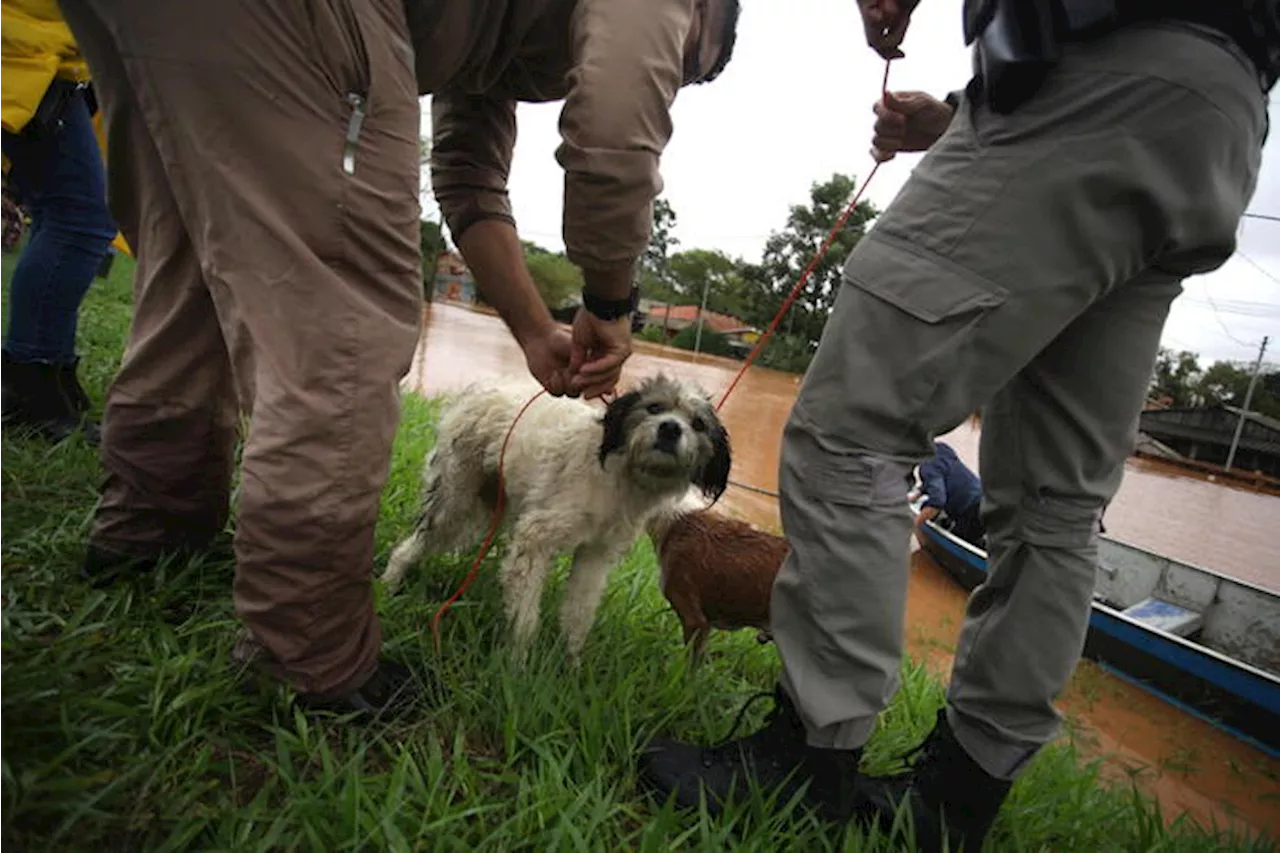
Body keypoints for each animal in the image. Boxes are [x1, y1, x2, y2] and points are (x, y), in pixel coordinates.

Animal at [376, 371, 732, 655]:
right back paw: (388, 585)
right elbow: (525, 615)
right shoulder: (536, 537)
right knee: (412, 544)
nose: (670, 429)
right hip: (455, 499)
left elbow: (579, 612)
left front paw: (570, 664)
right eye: (654, 407)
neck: (619, 478)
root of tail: (480, 388)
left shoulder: (596, 554)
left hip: (488, 505)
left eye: (698, 424)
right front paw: (520, 664)